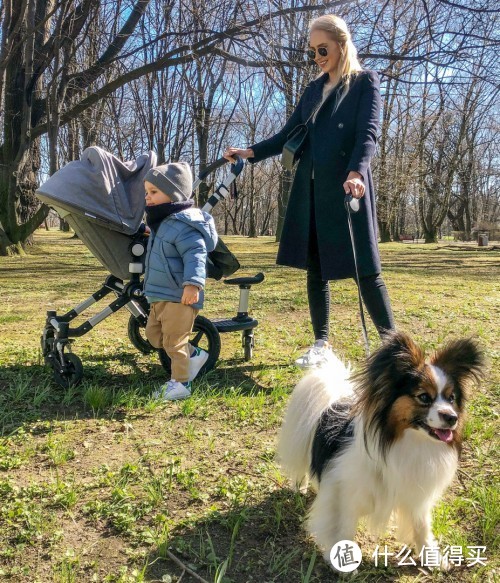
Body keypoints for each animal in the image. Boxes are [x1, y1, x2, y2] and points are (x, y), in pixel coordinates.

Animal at [278, 334, 484, 572]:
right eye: (424, 397)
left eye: (451, 399)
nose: (452, 418)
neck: (409, 442)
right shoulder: (346, 495)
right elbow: (344, 527)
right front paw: (345, 561)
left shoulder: (416, 497)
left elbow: (421, 527)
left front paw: (432, 558)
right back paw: (299, 487)